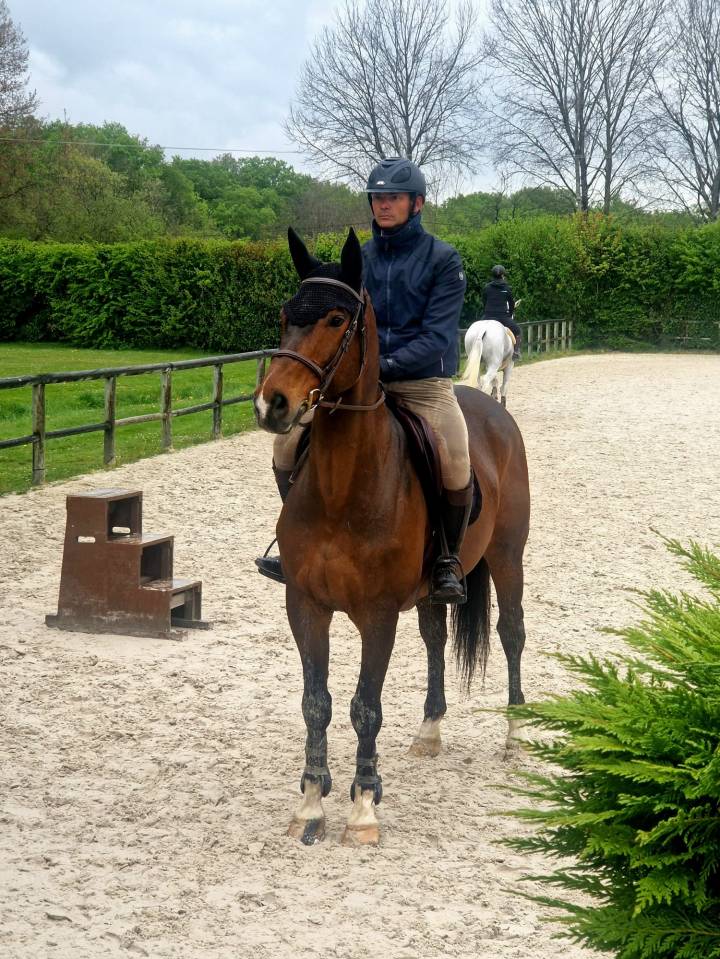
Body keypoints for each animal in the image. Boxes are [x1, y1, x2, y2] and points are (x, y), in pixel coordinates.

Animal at [253, 228, 530, 847]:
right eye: (285, 315)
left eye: (337, 319)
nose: (272, 404)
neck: (342, 489)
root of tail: (489, 410)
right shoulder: (304, 605)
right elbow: (316, 703)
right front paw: (311, 802)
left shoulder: (377, 614)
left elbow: (365, 706)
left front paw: (363, 807)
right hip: (432, 588)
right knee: (434, 637)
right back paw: (429, 730)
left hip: (508, 556)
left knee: (511, 633)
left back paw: (516, 734)